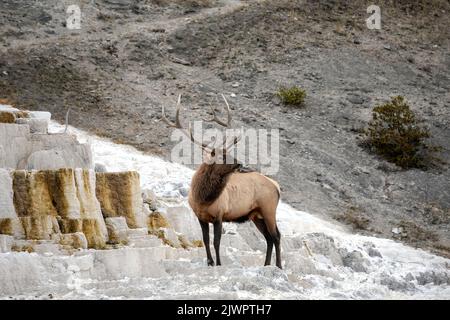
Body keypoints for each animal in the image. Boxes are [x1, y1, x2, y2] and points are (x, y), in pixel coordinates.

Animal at [162, 94, 282, 268]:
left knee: (276, 236)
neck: (203, 199)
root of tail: (277, 186)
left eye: (230, 152)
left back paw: (279, 266)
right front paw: (210, 261)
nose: (240, 163)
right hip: (256, 214)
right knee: (269, 238)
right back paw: (266, 265)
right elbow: (206, 240)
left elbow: (217, 241)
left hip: (269, 209)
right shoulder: (200, 216)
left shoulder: (219, 214)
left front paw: (218, 263)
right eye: (223, 156)